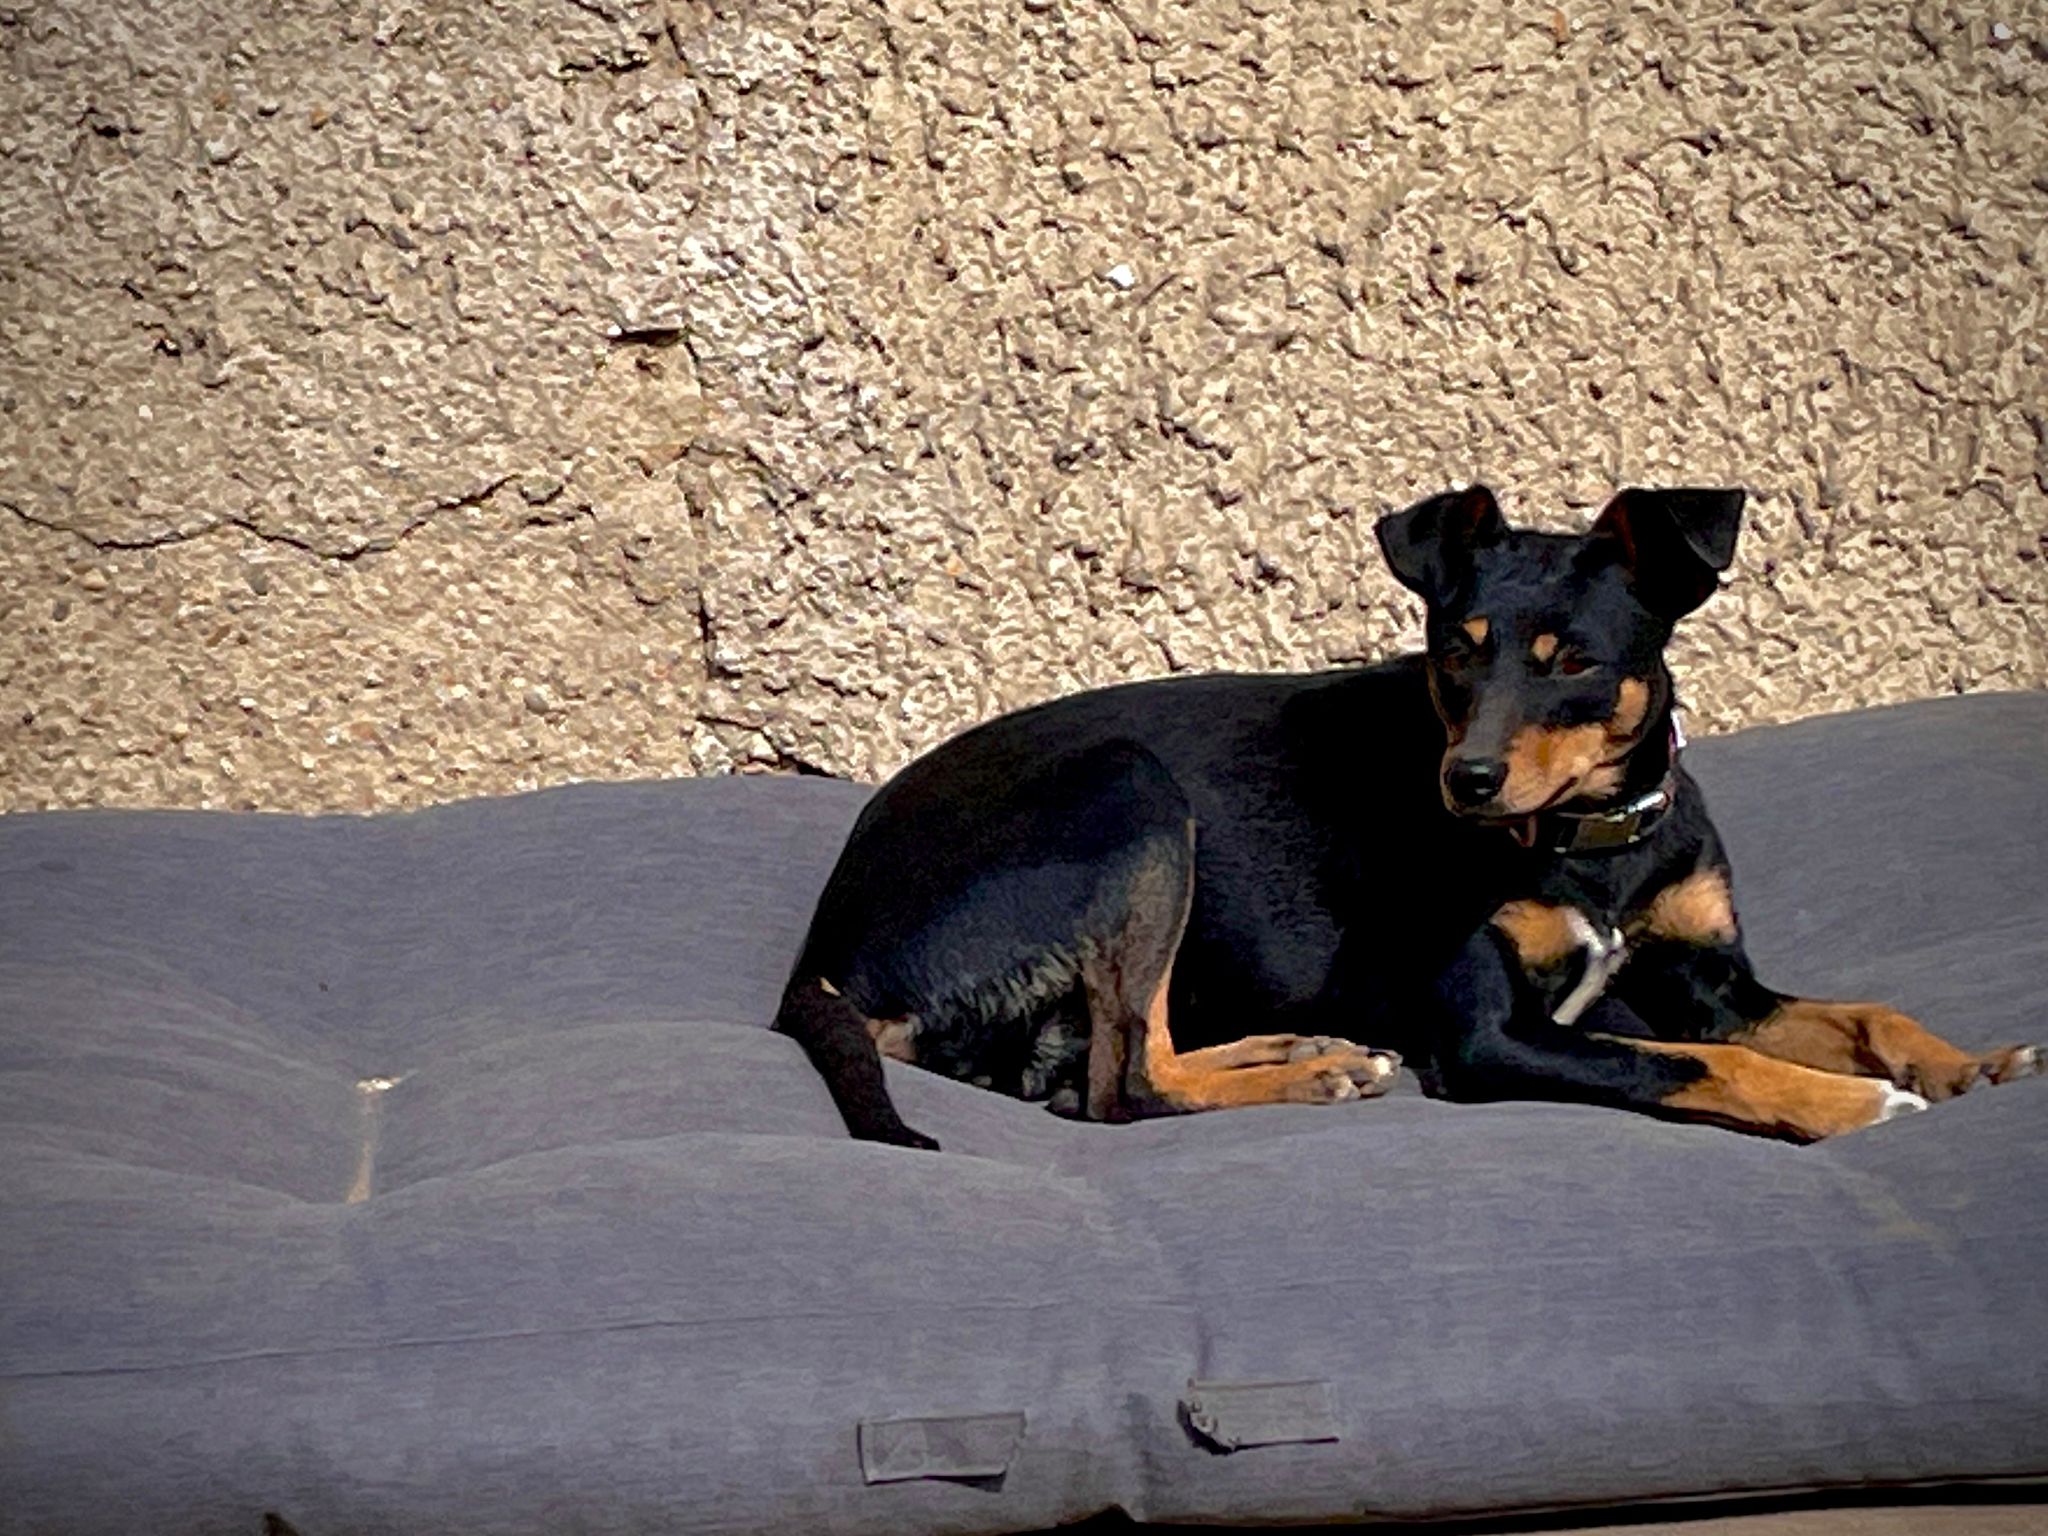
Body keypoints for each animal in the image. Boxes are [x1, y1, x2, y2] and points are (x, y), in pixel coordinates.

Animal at [773, 486, 2041, 1149]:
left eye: (1572, 661)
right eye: (1454, 652)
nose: (1464, 782)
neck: (1588, 846)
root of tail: (824, 954)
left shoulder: (1712, 982)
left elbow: (1857, 1009)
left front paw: (1965, 1064)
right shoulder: (1489, 1039)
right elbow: (1682, 1062)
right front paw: (1842, 1102)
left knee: (1115, 1055)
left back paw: (1300, 1049)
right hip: (1130, 790)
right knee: (1121, 1084)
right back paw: (1304, 1075)